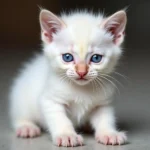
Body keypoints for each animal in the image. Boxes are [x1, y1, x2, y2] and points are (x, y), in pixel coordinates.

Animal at [9, 9, 126, 146]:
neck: (81, 89)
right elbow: (60, 119)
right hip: (21, 99)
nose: (82, 72)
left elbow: (105, 119)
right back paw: (26, 127)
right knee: (20, 116)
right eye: (67, 57)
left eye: (96, 58)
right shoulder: (50, 100)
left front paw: (109, 133)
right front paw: (67, 135)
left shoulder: (103, 104)